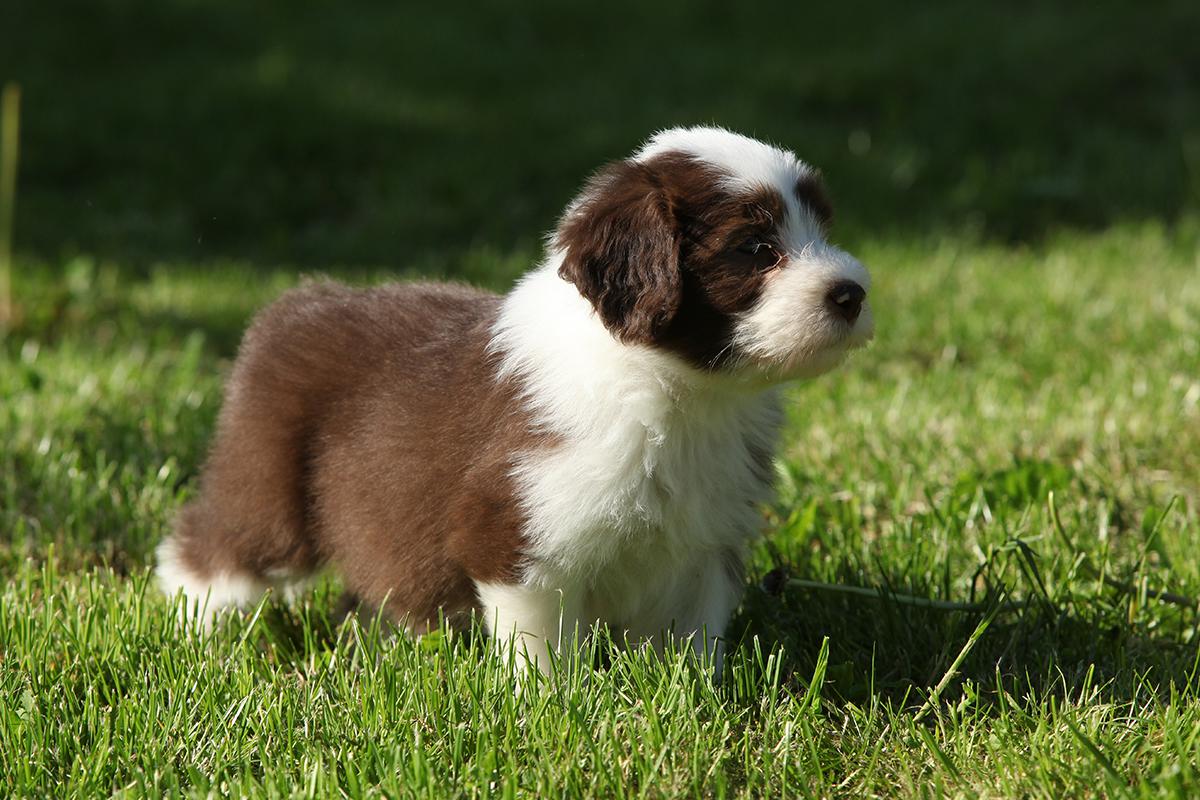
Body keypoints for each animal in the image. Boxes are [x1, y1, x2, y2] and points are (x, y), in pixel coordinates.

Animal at [157, 126, 873, 676]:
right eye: (756, 249)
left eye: (824, 228)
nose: (853, 293)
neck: (677, 391)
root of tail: (300, 301)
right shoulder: (519, 532)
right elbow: (541, 646)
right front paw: (552, 707)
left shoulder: (706, 540)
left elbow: (694, 638)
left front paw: (698, 698)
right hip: (268, 483)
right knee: (213, 547)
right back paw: (191, 631)